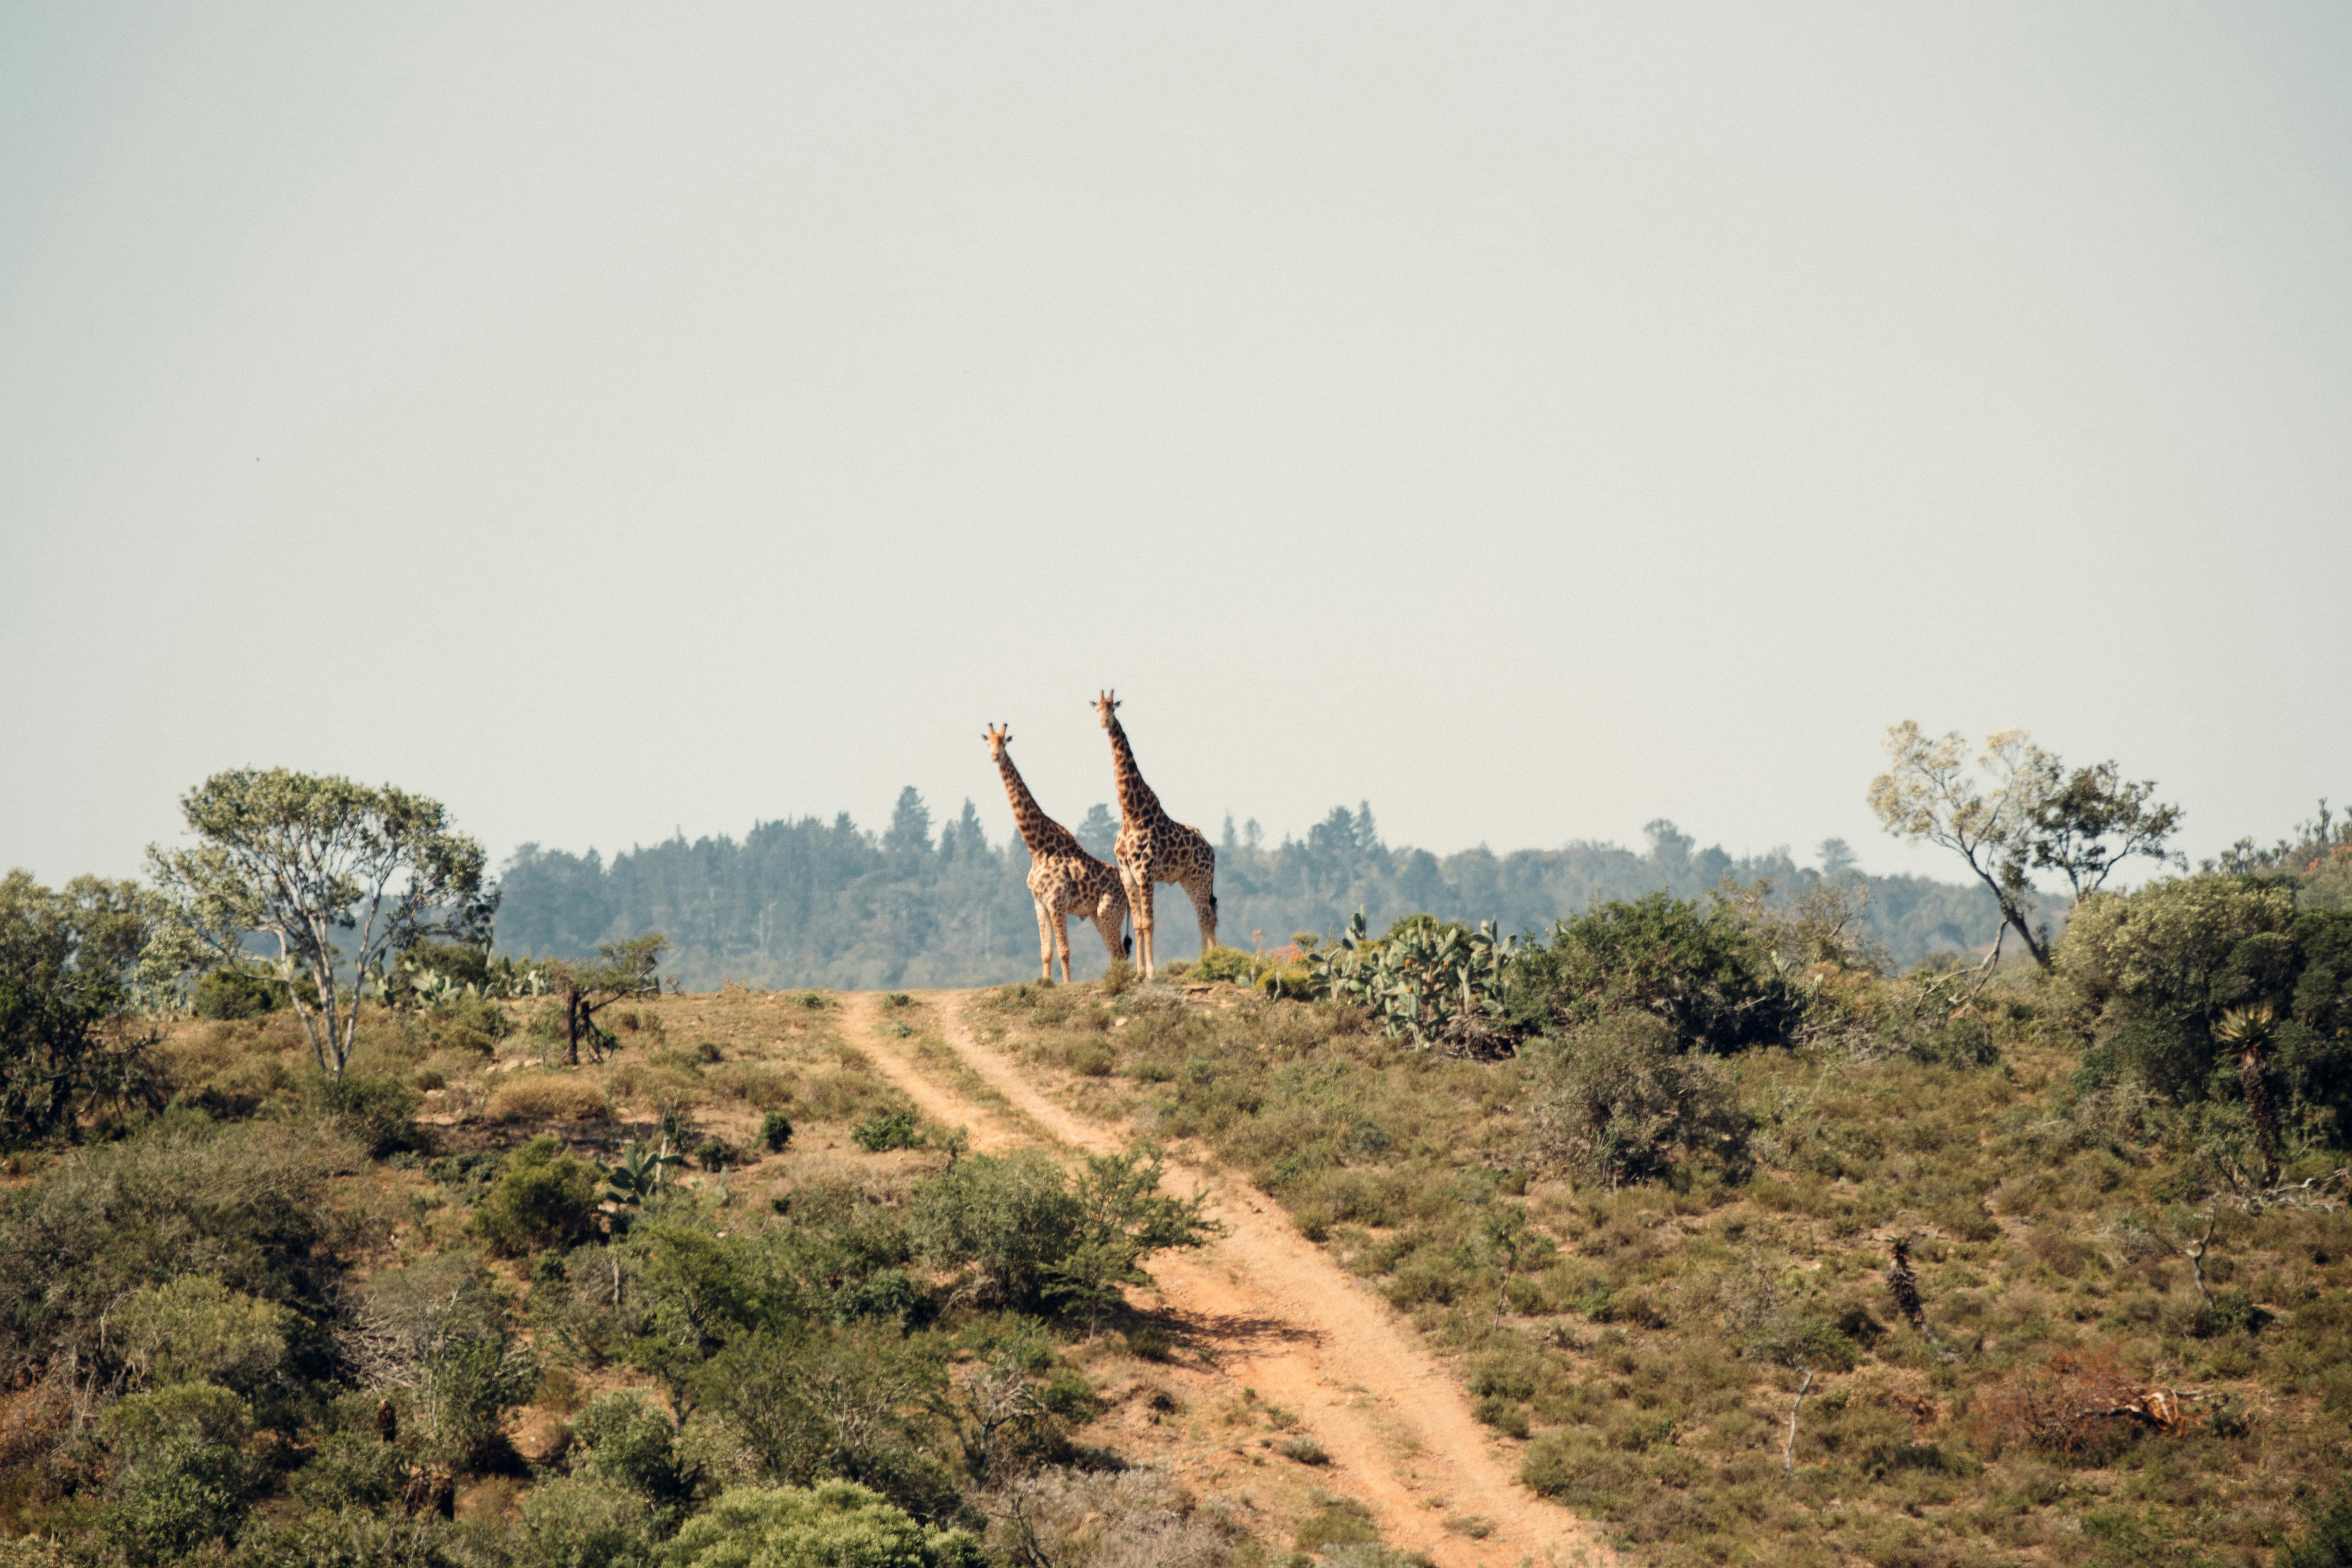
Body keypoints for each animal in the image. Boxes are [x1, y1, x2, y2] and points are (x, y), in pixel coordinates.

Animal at [983, 724, 1129, 983]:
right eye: (988, 742)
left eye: (1004, 742)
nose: (994, 756)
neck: (1038, 849)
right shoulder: (1040, 904)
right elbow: (1046, 951)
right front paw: (1046, 983)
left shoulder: (1057, 901)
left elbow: (1064, 950)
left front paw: (1067, 985)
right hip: (1096, 915)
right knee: (1116, 953)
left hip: (1109, 911)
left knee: (1120, 952)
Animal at [1096, 691, 1223, 983]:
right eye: (1097, 708)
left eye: (1113, 708)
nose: (1103, 723)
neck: (1131, 813)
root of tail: (1211, 850)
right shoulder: (1128, 875)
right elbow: (1139, 924)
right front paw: (1140, 973)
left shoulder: (1145, 872)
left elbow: (1149, 923)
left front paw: (1152, 972)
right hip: (1189, 879)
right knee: (1204, 916)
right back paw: (1206, 962)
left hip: (1201, 877)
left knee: (1206, 916)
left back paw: (1210, 964)